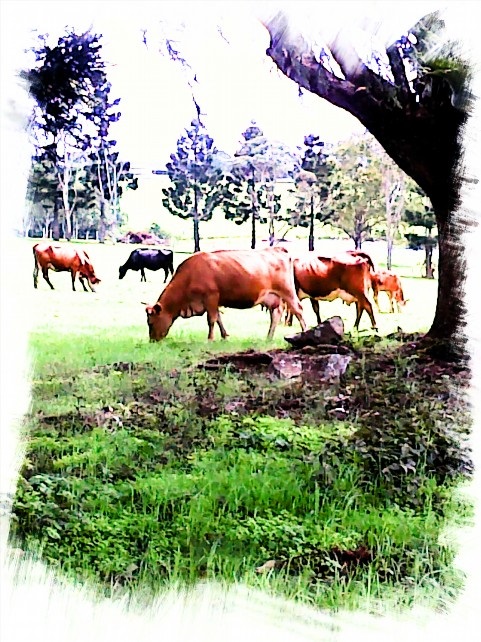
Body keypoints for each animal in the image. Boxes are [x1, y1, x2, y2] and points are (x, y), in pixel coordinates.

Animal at [144, 247, 307, 341]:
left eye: (150, 322)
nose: (152, 341)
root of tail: (278, 249)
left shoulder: (211, 296)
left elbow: (211, 320)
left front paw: (210, 339)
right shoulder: (215, 301)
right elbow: (218, 318)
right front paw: (224, 336)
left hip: (287, 290)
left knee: (298, 309)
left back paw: (305, 332)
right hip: (271, 296)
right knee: (276, 313)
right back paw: (269, 337)